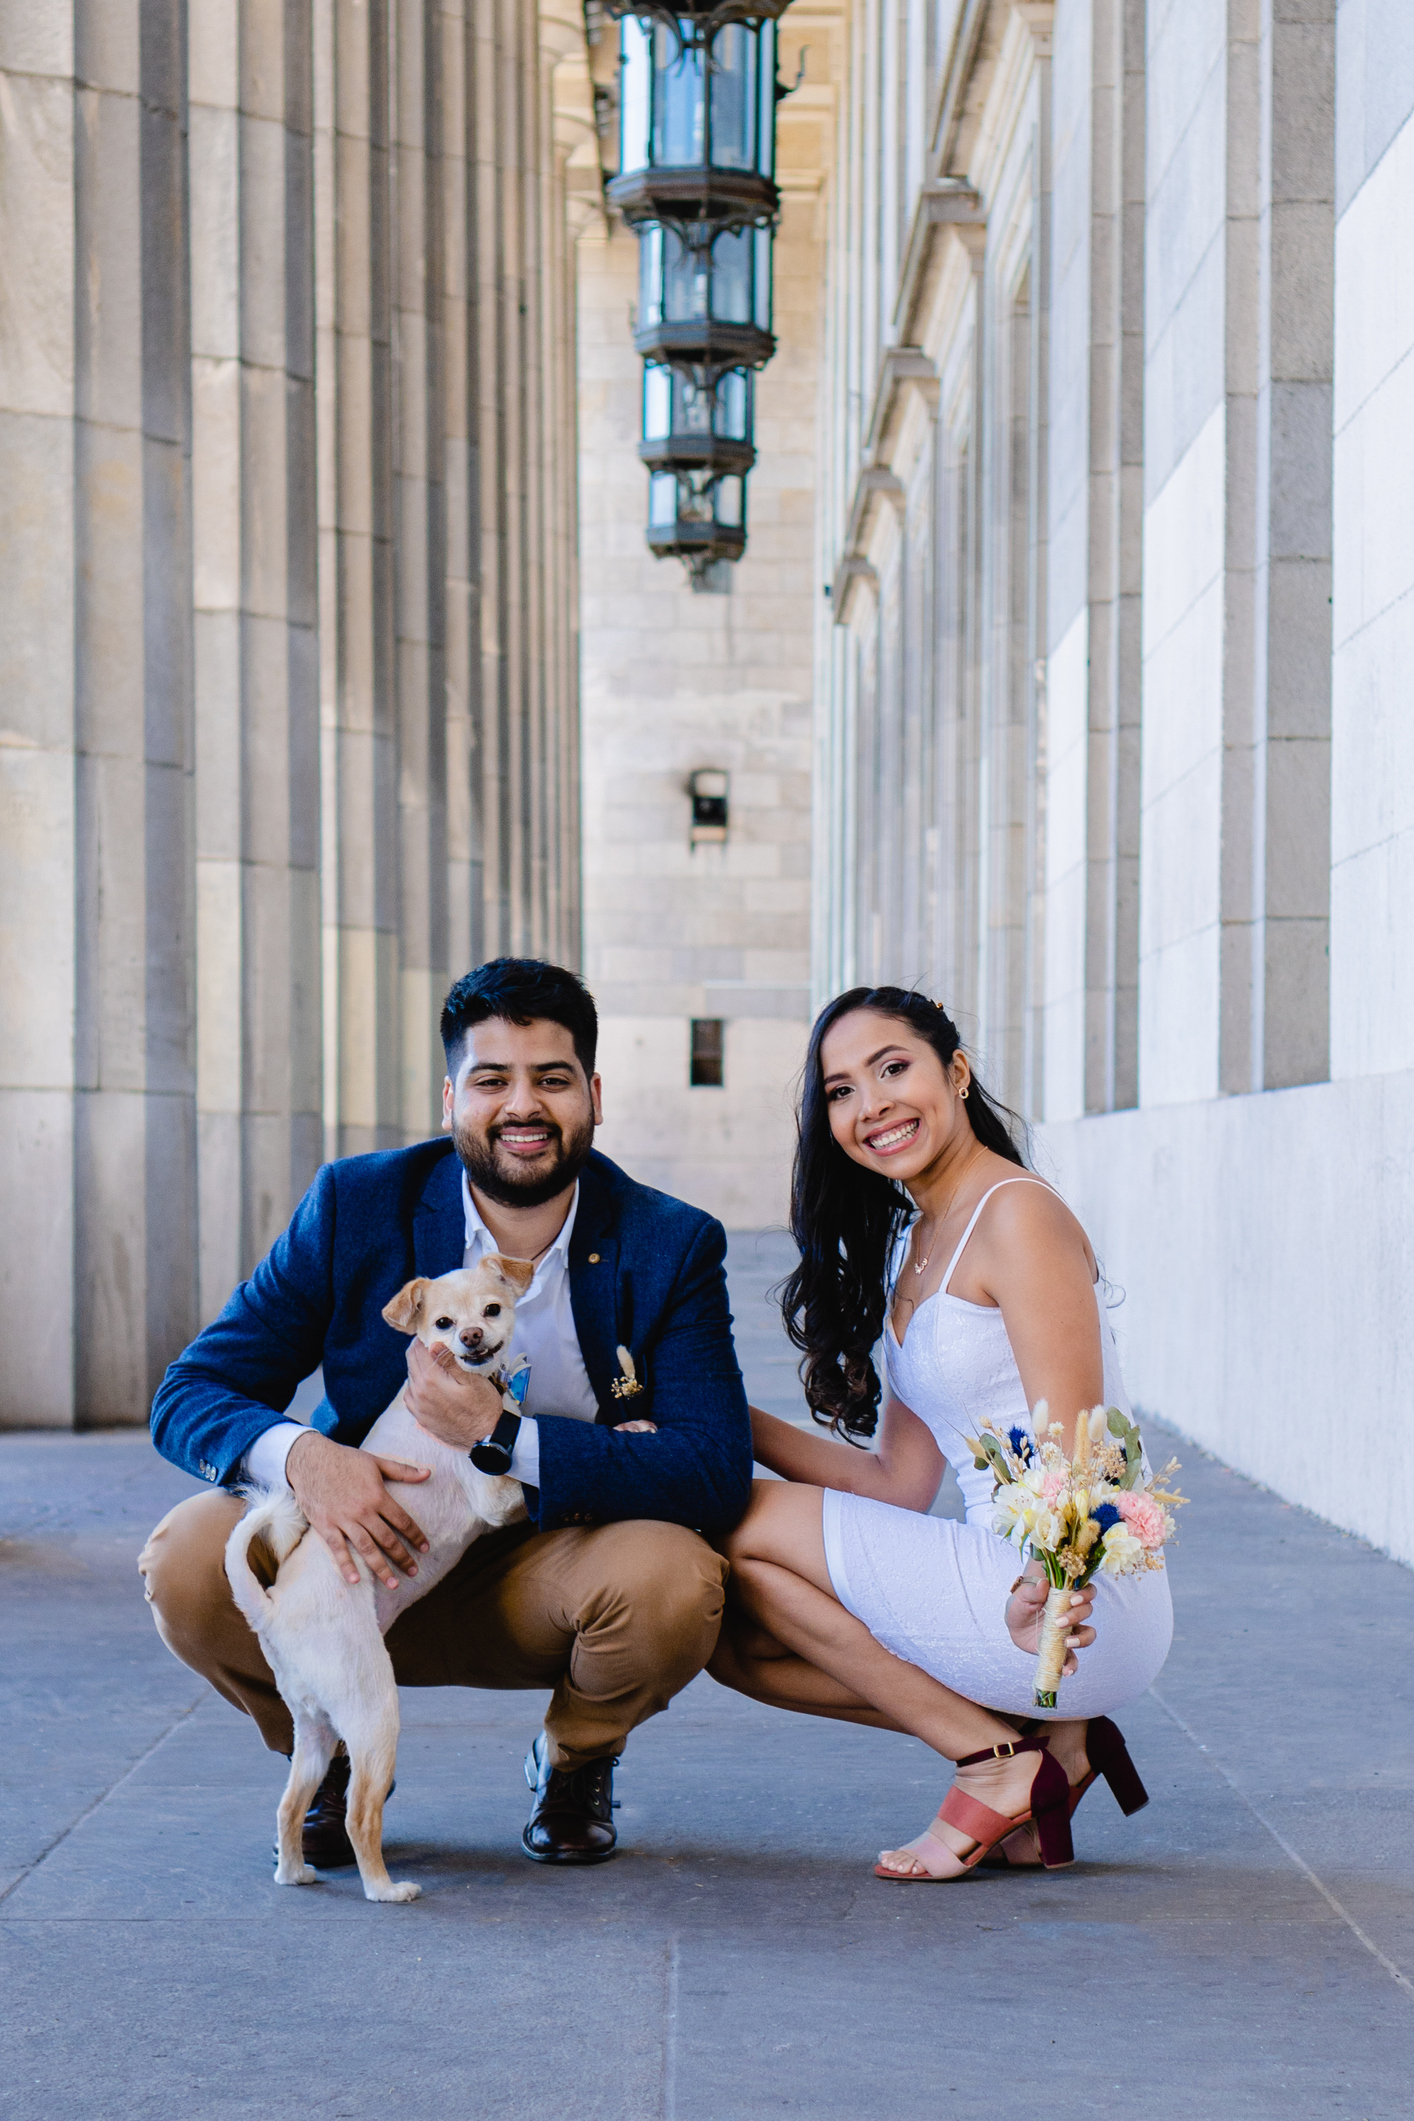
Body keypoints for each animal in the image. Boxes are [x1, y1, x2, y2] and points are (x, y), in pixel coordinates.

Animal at [226, 1255, 536, 1908]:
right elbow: (527, 1457)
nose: (471, 1337)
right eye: (442, 1323)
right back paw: (384, 1889)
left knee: (289, 1805)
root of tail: (273, 1609)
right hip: (374, 1714)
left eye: (491, 1310)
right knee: (359, 1814)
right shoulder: (497, 1496)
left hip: (315, 1731)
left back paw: (295, 1873)